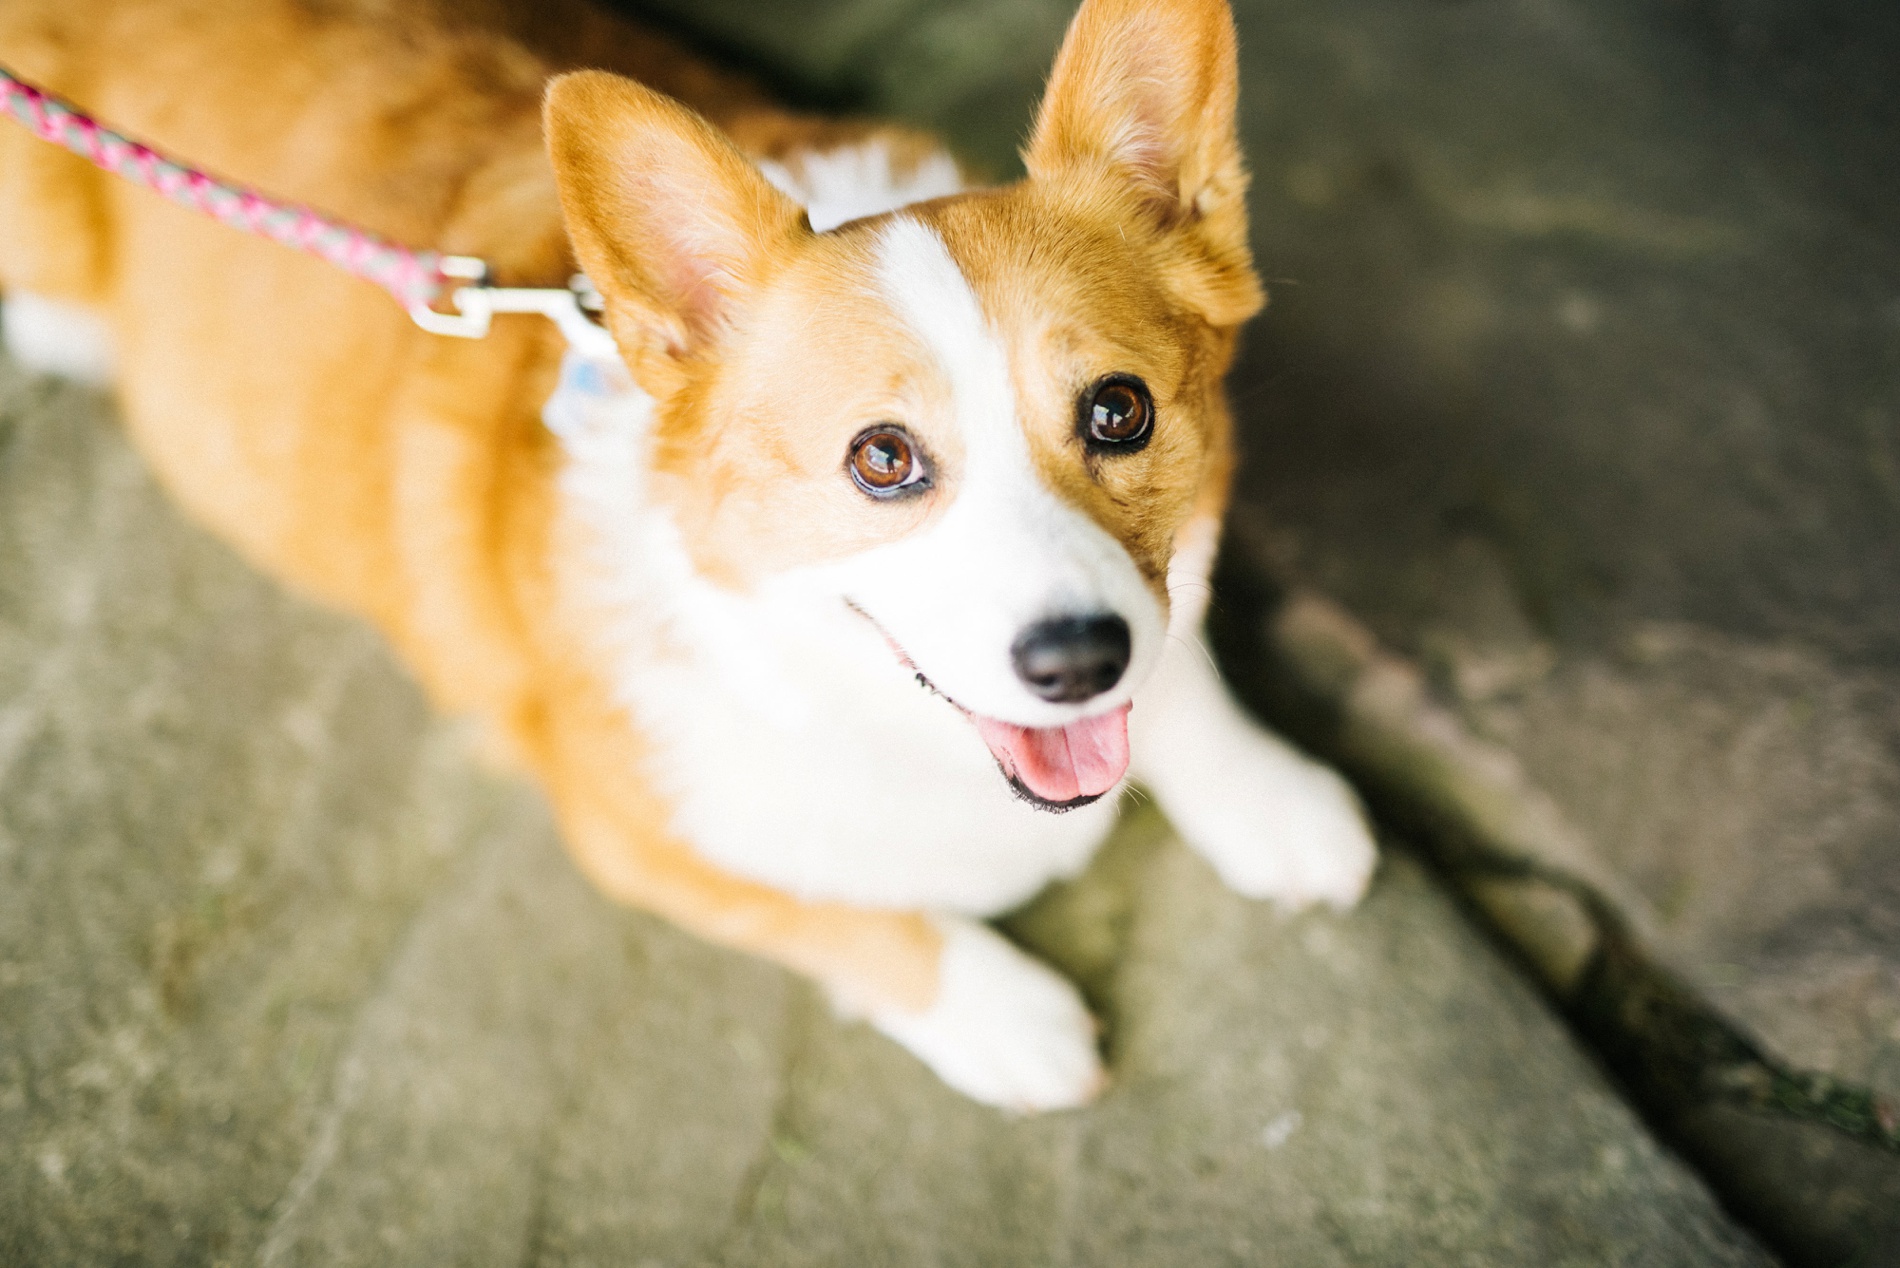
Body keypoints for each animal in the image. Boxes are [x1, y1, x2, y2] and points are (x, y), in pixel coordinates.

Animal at [3, 0, 1383, 1110]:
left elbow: (1184, 656)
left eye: (1119, 411)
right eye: (882, 458)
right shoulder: (633, 834)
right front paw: (1002, 1013)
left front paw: (1266, 794)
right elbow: (849, 920)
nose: (1077, 663)